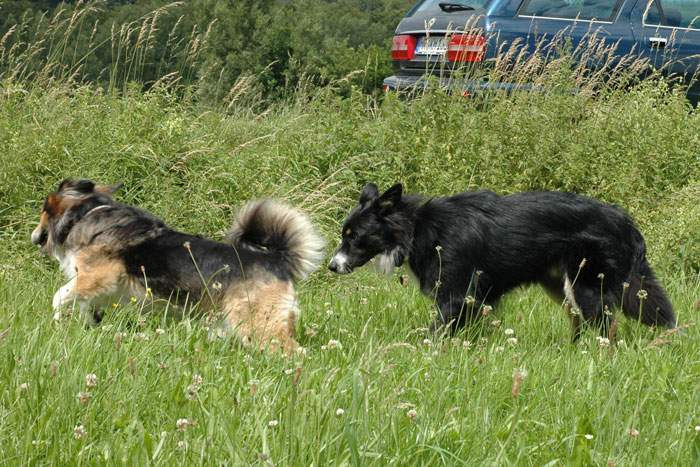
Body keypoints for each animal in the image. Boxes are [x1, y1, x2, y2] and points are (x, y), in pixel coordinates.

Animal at [32, 181, 326, 352]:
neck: (86, 213)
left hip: (258, 324)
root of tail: (276, 260)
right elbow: (84, 306)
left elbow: (59, 296)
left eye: (42, 212)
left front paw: (57, 322)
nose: (33, 236)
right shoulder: (100, 290)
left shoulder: (96, 276)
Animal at [330, 185, 676, 342]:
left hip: (587, 286)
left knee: (605, 330)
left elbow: (435, 331)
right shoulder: (472, 301)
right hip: (562, 286)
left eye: (353, 236)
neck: (418, 228)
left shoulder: (456, 296)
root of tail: (626, 222)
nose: (332, 266)